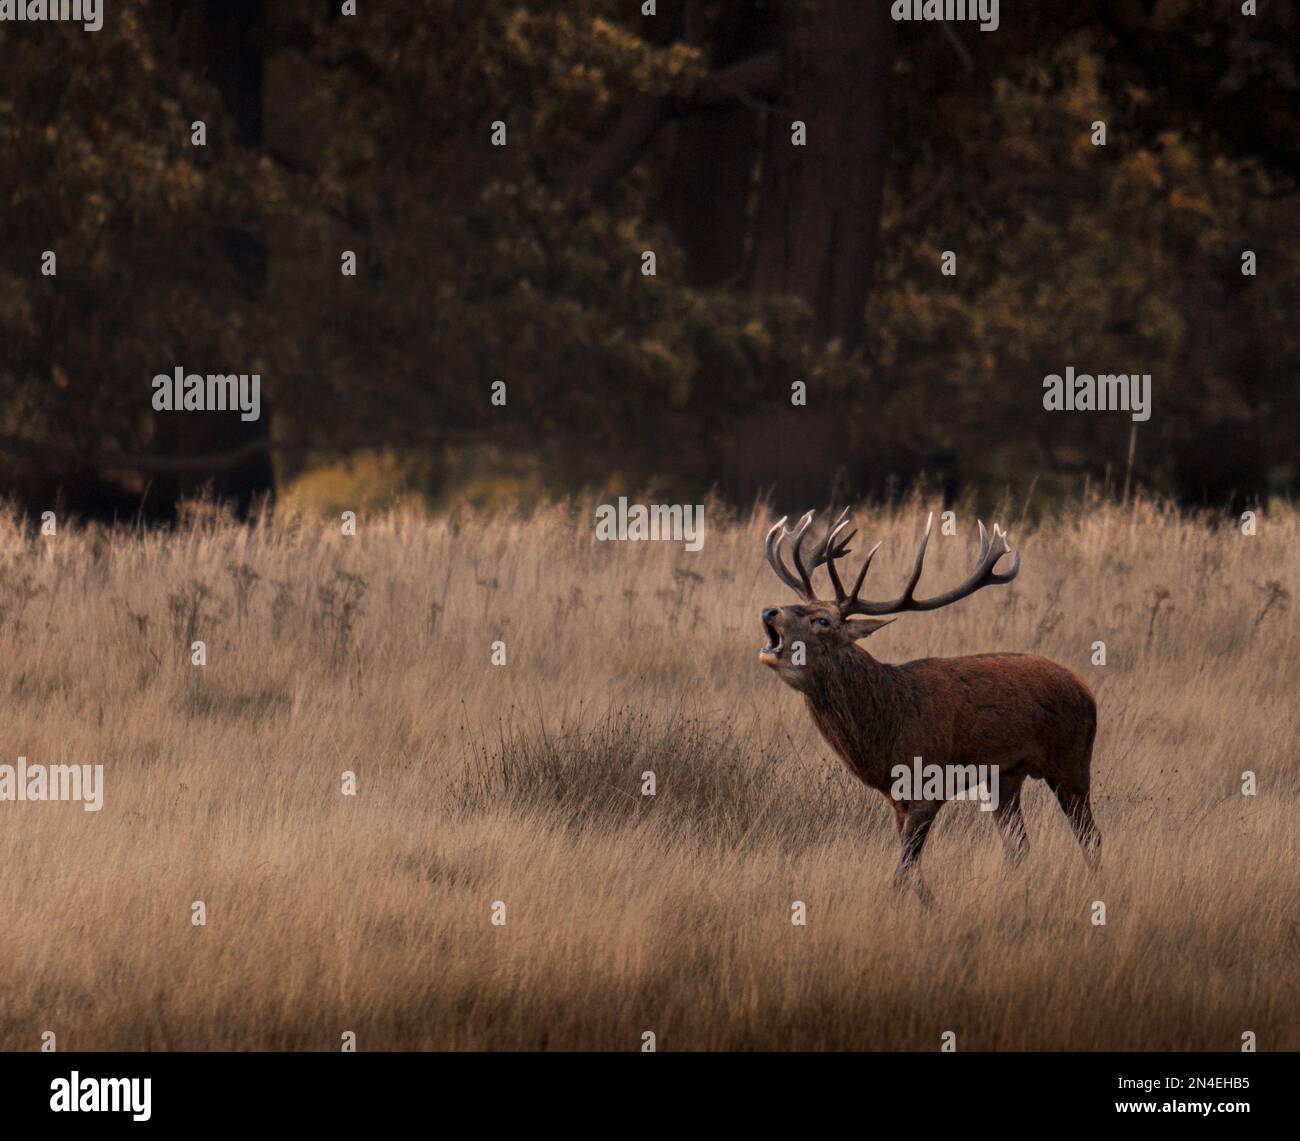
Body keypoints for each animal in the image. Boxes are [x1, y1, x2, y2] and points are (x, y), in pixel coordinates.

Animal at [759, 508, 1100, 905]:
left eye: (822, 621)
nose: (770, 612)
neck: (886, 730)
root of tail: (1087, 691)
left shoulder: (928, 784)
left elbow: (903, 869)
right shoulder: (897, 798)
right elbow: (911, 870)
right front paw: (929, 904)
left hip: (1071, 761)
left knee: (1091, 837)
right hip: (1005, 777)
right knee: (1019, 846)